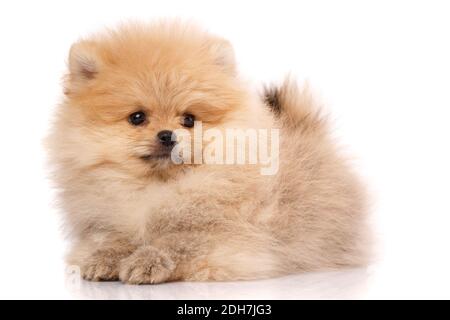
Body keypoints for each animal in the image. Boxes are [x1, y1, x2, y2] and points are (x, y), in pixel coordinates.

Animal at [46, 21, 370, 284]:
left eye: (189, 119)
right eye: (137, 118)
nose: (167, 135)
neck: (157, 188)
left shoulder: (227, 235)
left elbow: (179, 242)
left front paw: (147, 261)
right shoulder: (104, 220)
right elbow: (111, 238)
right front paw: (105, 259)